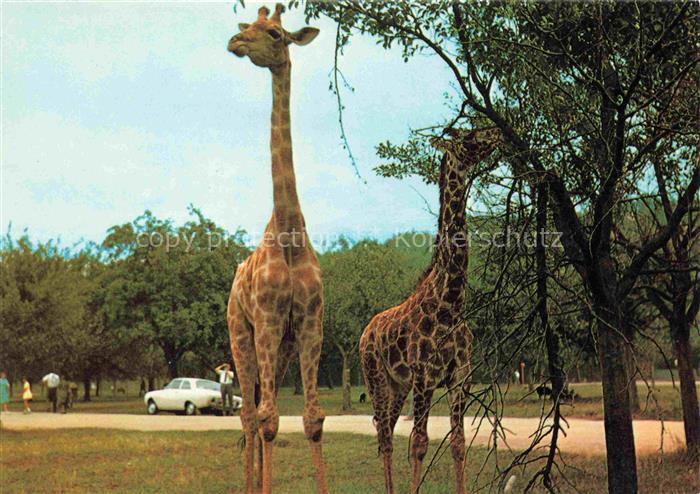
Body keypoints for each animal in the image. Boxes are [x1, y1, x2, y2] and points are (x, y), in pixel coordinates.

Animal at [360, 128, 502, 494]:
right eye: (469, 135)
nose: (496, 132)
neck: (451, 302)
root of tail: (365, 333)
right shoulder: (425, 377)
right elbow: (419, 444)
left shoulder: (460, 377)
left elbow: (458, 443)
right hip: (376, 378)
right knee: (384, 436)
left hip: (398, 386)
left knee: (387, 430)